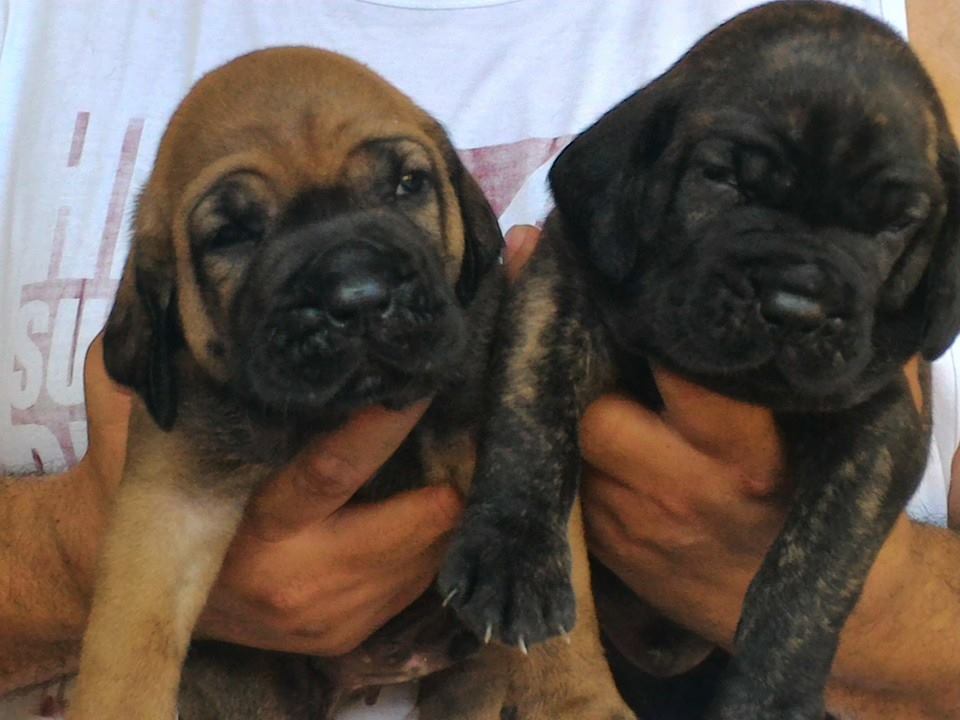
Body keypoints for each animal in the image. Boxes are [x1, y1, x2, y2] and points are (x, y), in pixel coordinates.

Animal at [71, 46, 632, 720]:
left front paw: (577, 696)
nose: (360, 296)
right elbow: (128, 632)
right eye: (231, 234)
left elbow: (547, 578)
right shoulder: (172, 496)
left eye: (407, 185)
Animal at [442, 5, 960, 720]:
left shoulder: (878, 422)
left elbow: (816, 569)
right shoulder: (562, 292)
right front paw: (513, 558)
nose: (795, 306)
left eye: (895, 225)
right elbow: (531, 419)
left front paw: (773, 691)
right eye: (724, 180)